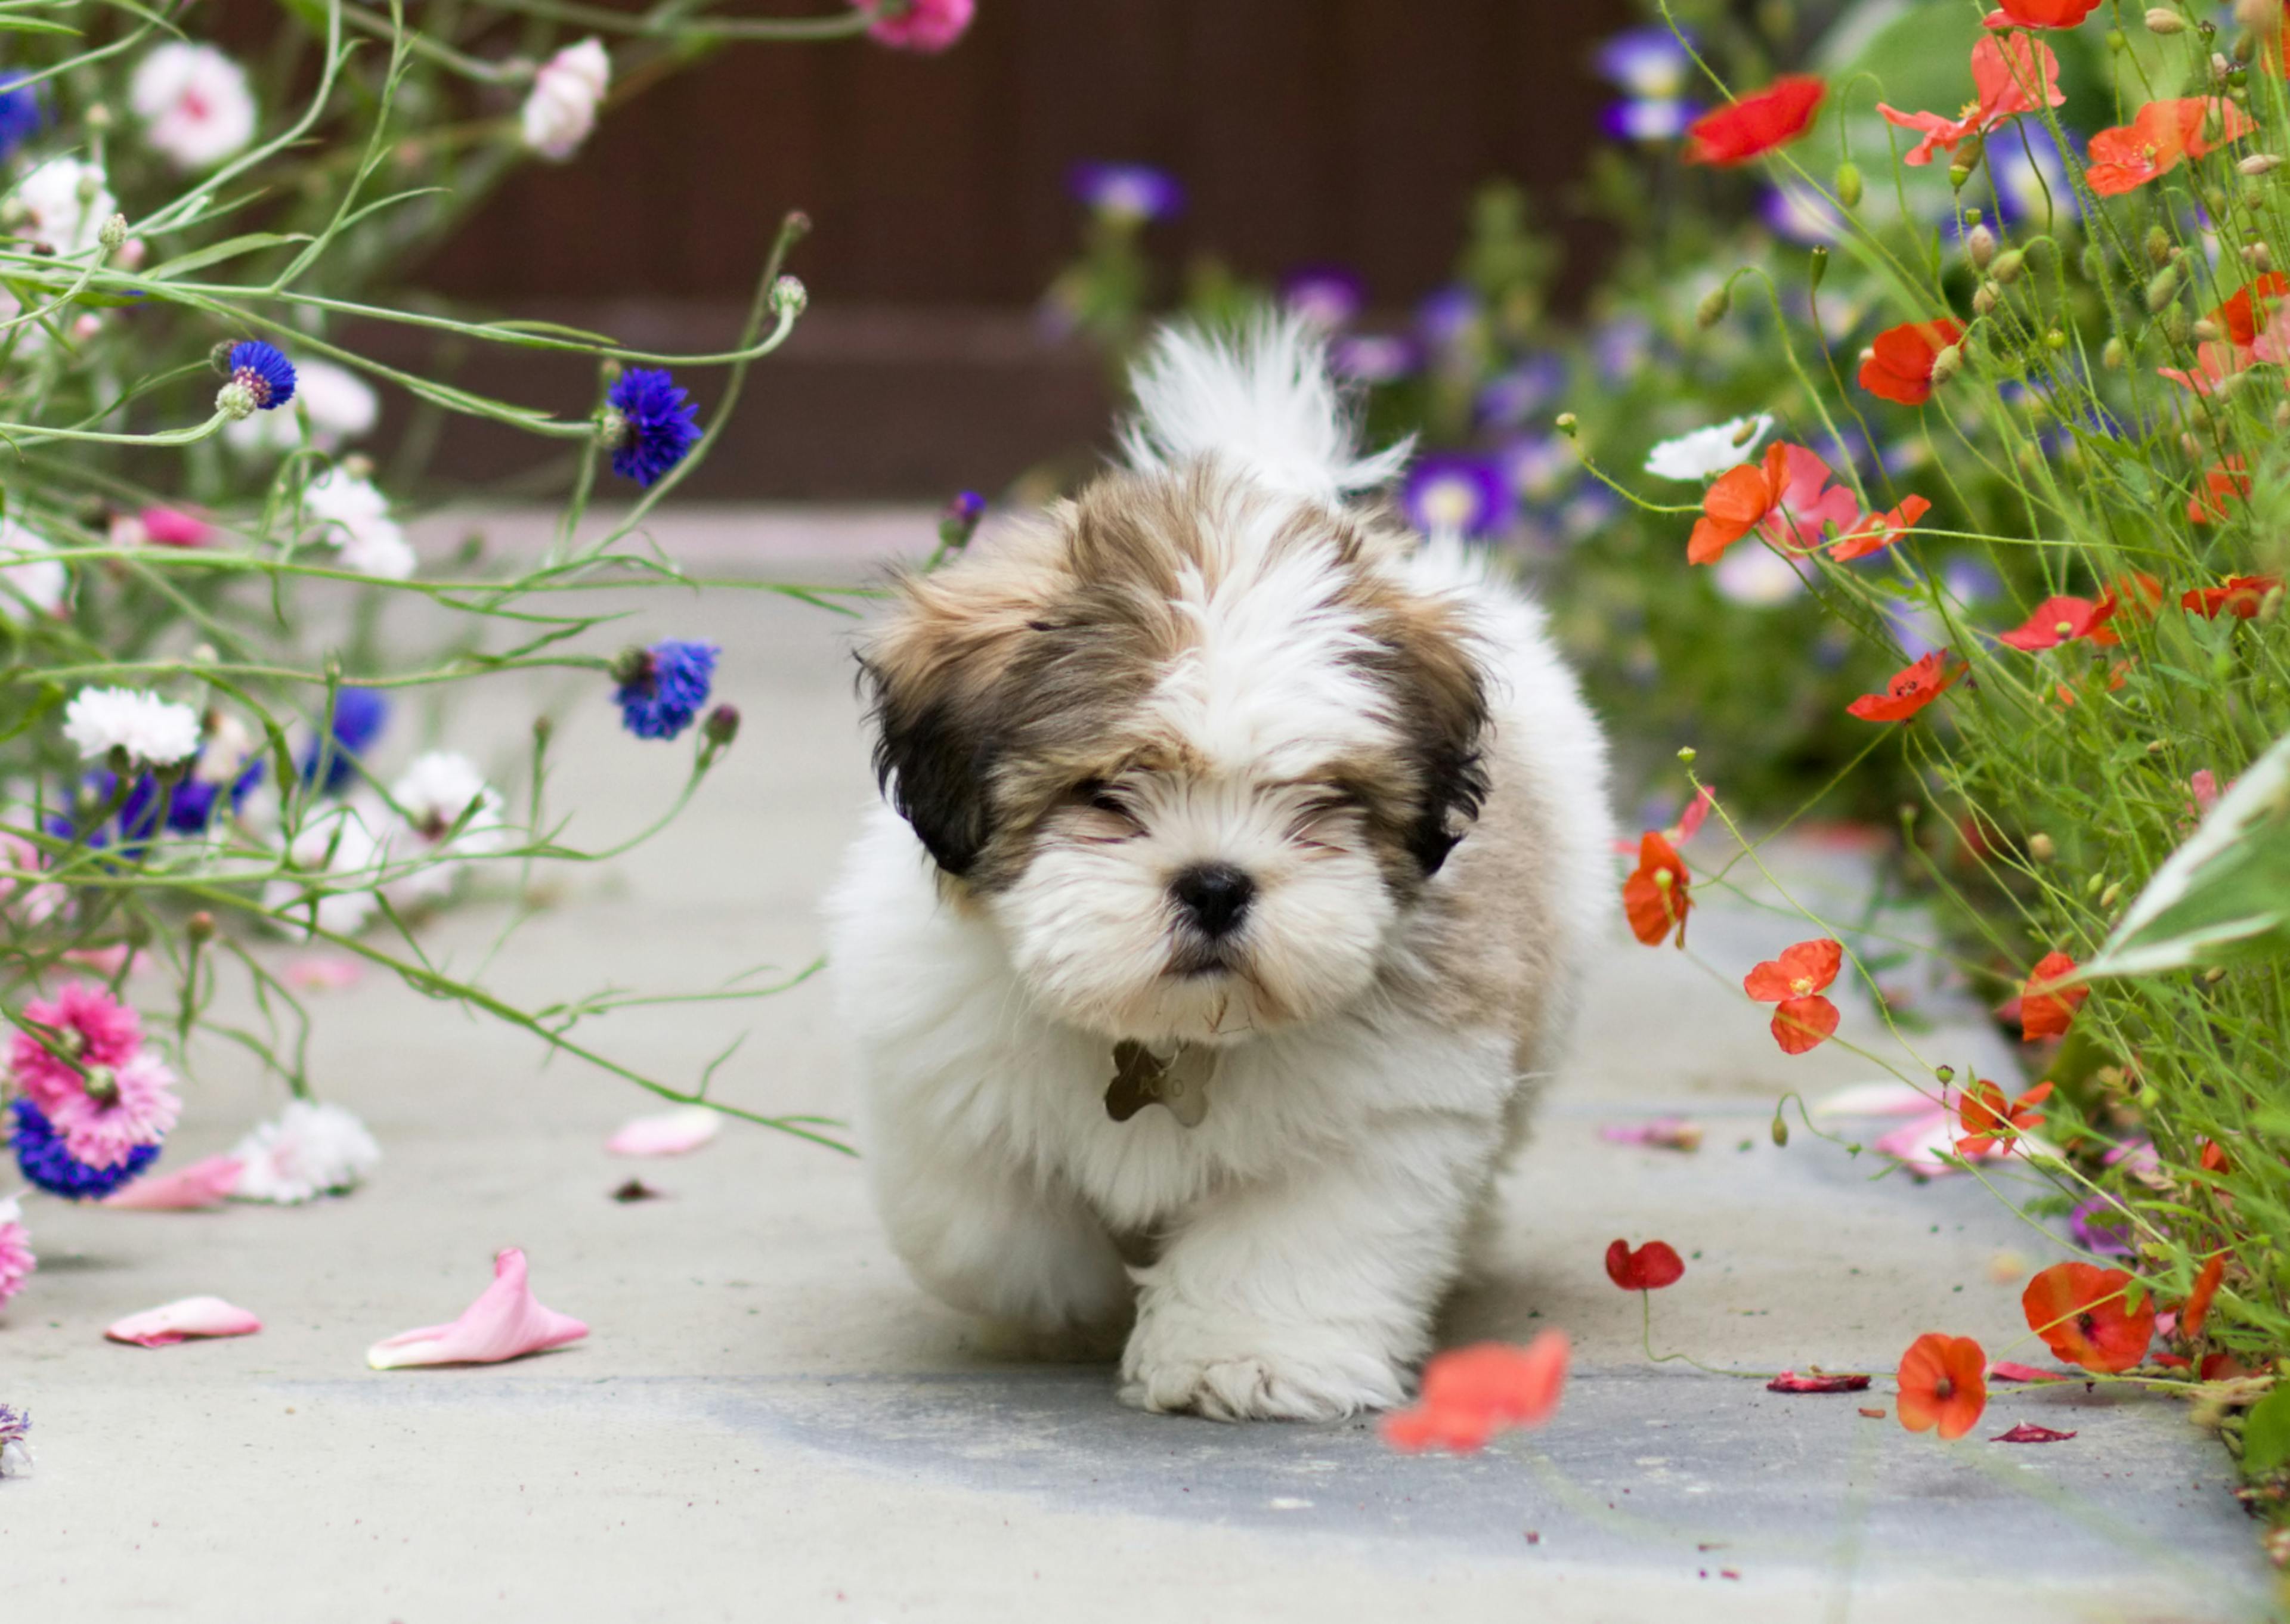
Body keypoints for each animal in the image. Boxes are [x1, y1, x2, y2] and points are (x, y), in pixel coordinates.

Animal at [824, 320, 1612, 1420]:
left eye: (1321, 798)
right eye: (1110, 791)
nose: (1216, 882)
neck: (1170, 1037)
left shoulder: (1383, 1108)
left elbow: (1296, 1235)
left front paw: (1243, 1354)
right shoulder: (939, 1063)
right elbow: (989, 1225)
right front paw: (1065, 1302)